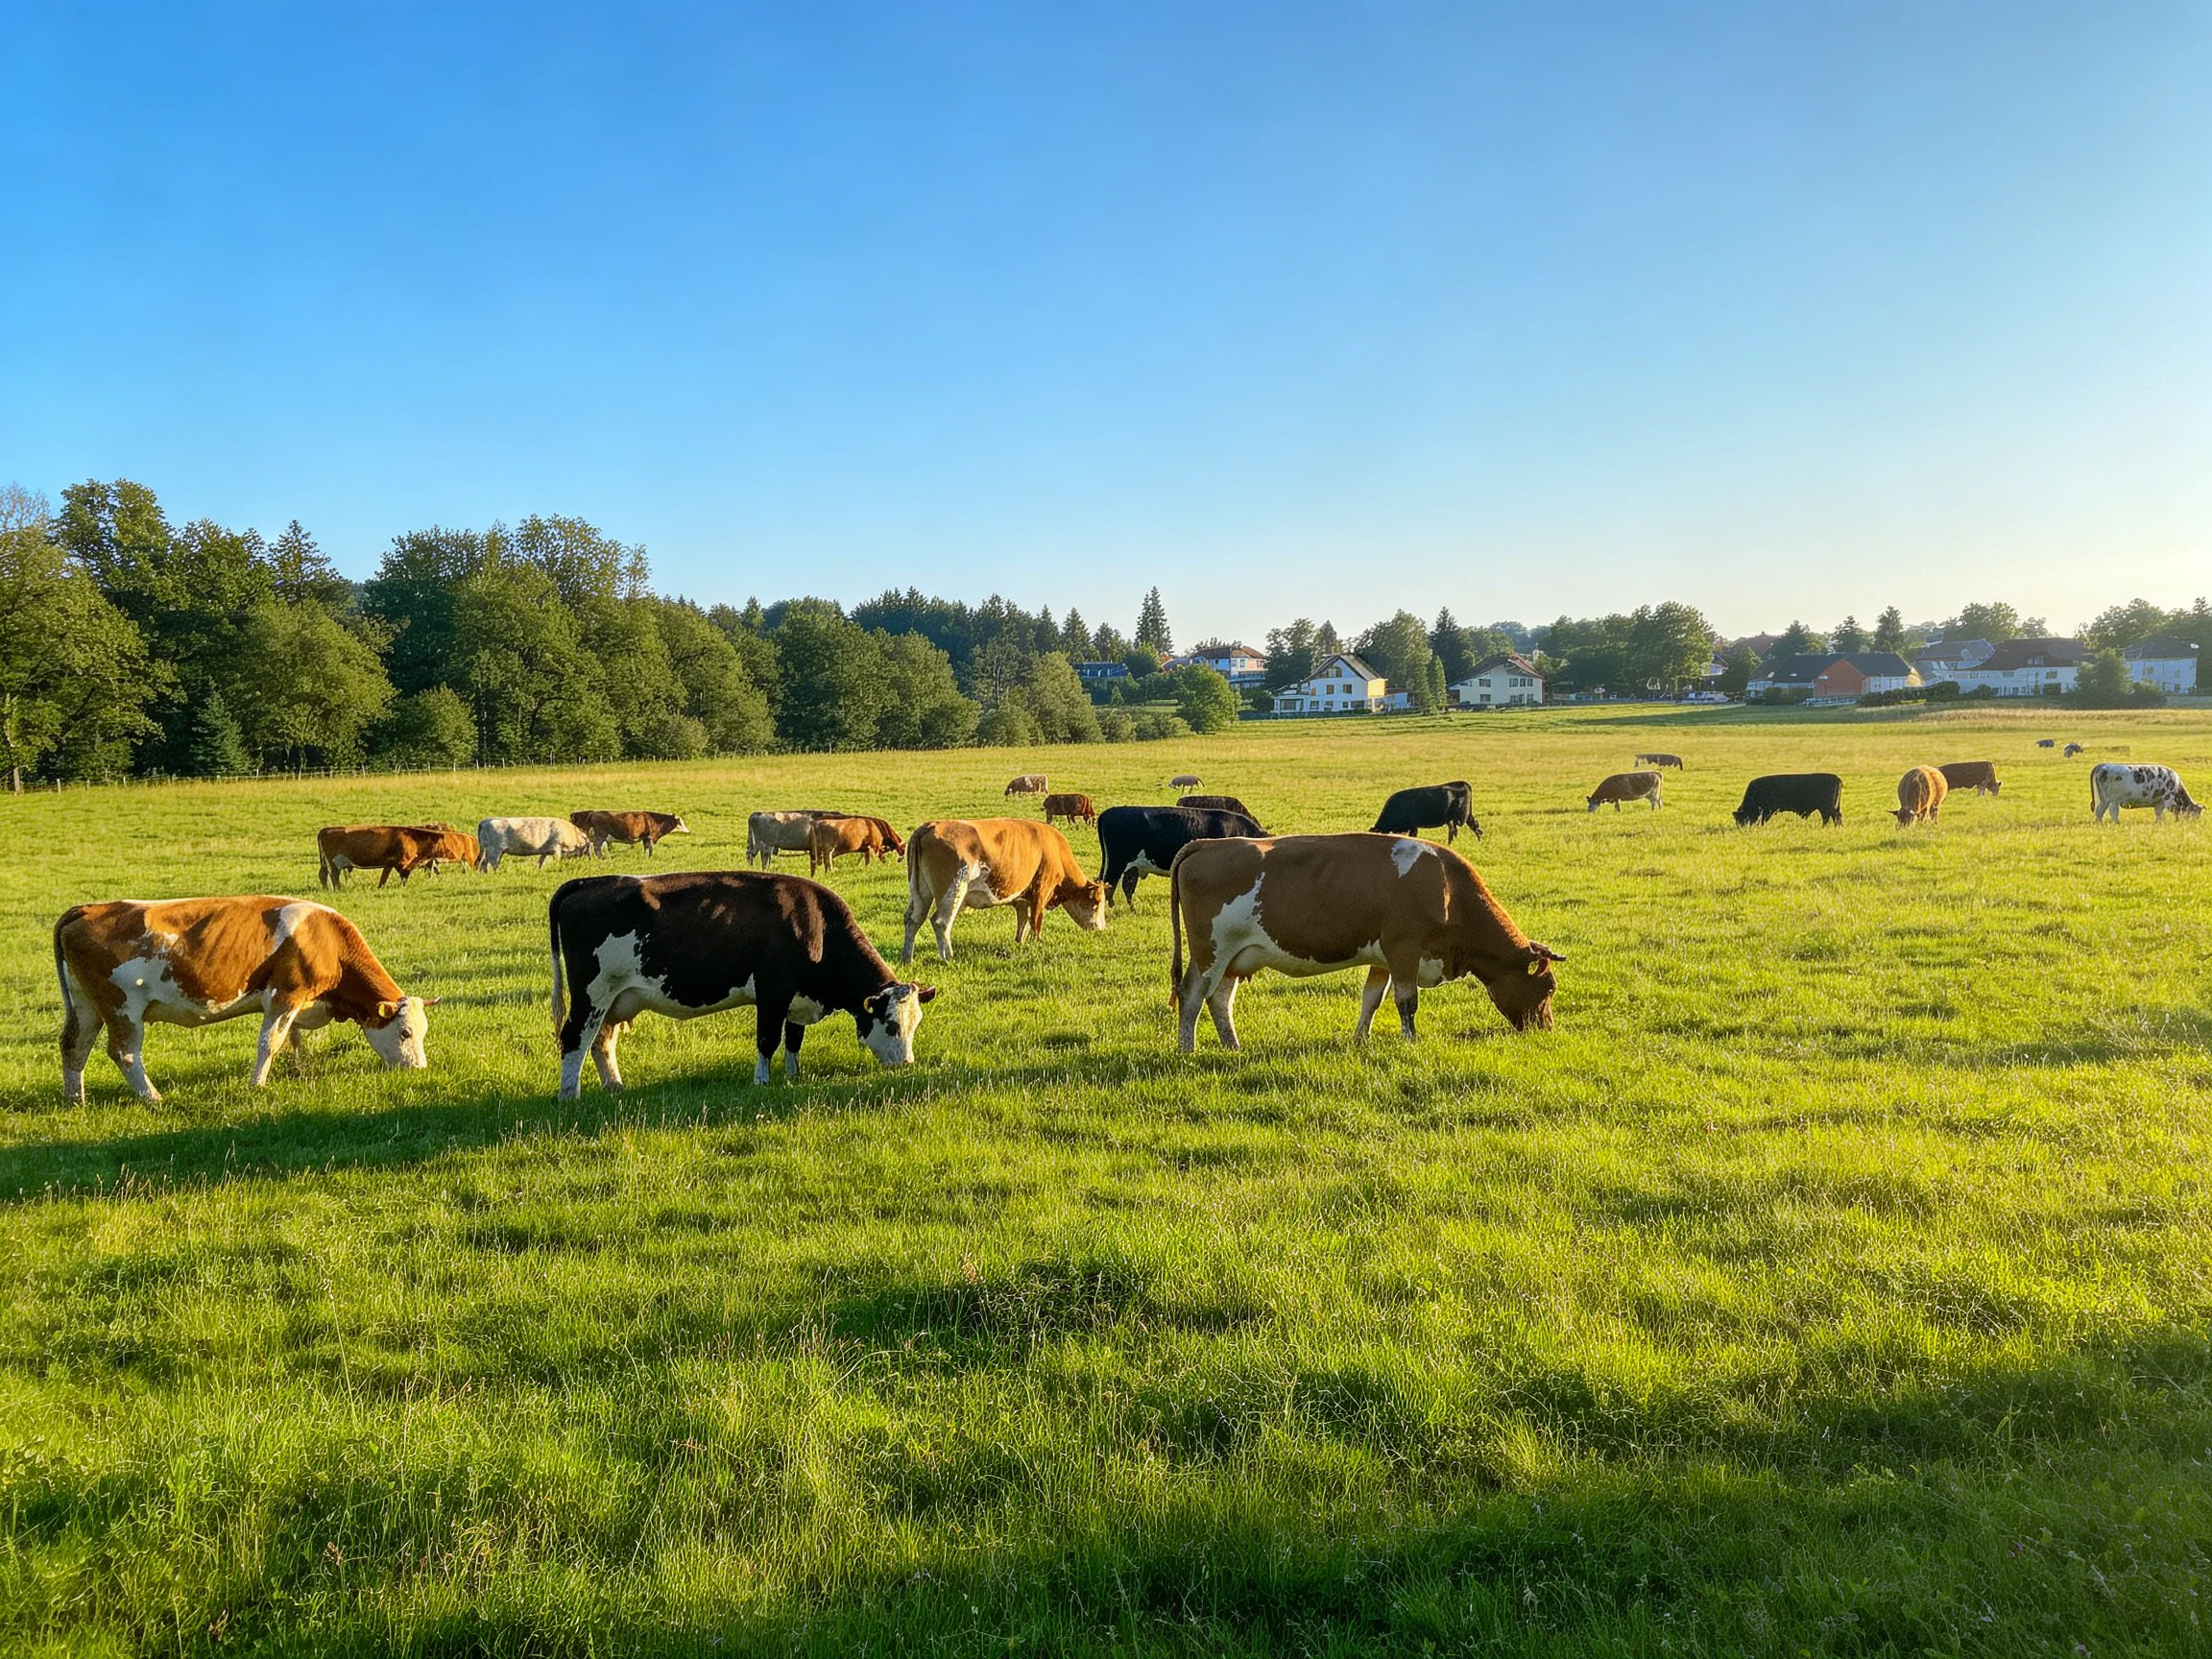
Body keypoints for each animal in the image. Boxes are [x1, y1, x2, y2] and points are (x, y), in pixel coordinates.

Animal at [55, 896, 435, 1103]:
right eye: (405, 1033)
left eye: (423, 1032)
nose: (419, 1068)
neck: (324, 939)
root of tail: (87, 909)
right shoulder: (286, 994)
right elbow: (270, 1042)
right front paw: (257, 1084)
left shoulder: (298, 1003)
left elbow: (294, 1038)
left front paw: (300, 1069)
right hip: (122, 1008)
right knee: (125, 1053)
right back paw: (153, 1098)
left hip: (87, 1006)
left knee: (74, 1046)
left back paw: (76, 1100)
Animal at [316, 824, 444, 889]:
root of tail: (325, 830)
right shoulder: (397, 862)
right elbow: (393, 875)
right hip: (334, 862)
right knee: (334, 875)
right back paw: (338, 888)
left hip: (324, 862)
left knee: (323, 874)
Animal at [549, 871, 936, 1097]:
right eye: (890, 1025)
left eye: (915, 1023)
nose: (907, 1064)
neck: (815, 925)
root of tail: (588, 882)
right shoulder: (773, 992)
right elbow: (768, 1040)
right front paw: (762, 1081)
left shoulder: (797, 998)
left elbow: (793, 1041)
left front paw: (794, 1076)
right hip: (592, 994)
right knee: (574, 1039)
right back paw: (570, 1094)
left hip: (614, 1000)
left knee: (601, 1041)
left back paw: (614, 1086)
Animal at [902, 818, 1108, 963]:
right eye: (1097, 904)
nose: (1102, 929)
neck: (1056, 851)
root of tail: (930, 826)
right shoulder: (1042, 891)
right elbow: (1036, 921)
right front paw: (1038, 943)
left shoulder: (1023, 898)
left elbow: (1023, 921)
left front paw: (1020, 942)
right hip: (953, 891)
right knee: (941, 922)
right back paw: (948, 957)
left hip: (920, 891)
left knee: (913, 920)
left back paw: (907, 958)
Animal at [1168, 833, 1563, 1052]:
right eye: (1548, 989)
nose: (1545, 1029)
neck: (1448, 889)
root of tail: (1205, 844)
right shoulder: (1404, 949)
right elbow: (1406, 1003)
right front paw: (1410, 1041)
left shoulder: (1382, 959)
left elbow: (1371, 1000)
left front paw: (1361, 1040)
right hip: (1209, 951)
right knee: (1192, 995)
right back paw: (1188, 1050)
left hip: (1235, 958)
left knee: (1220, 999)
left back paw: (1232, 1048)